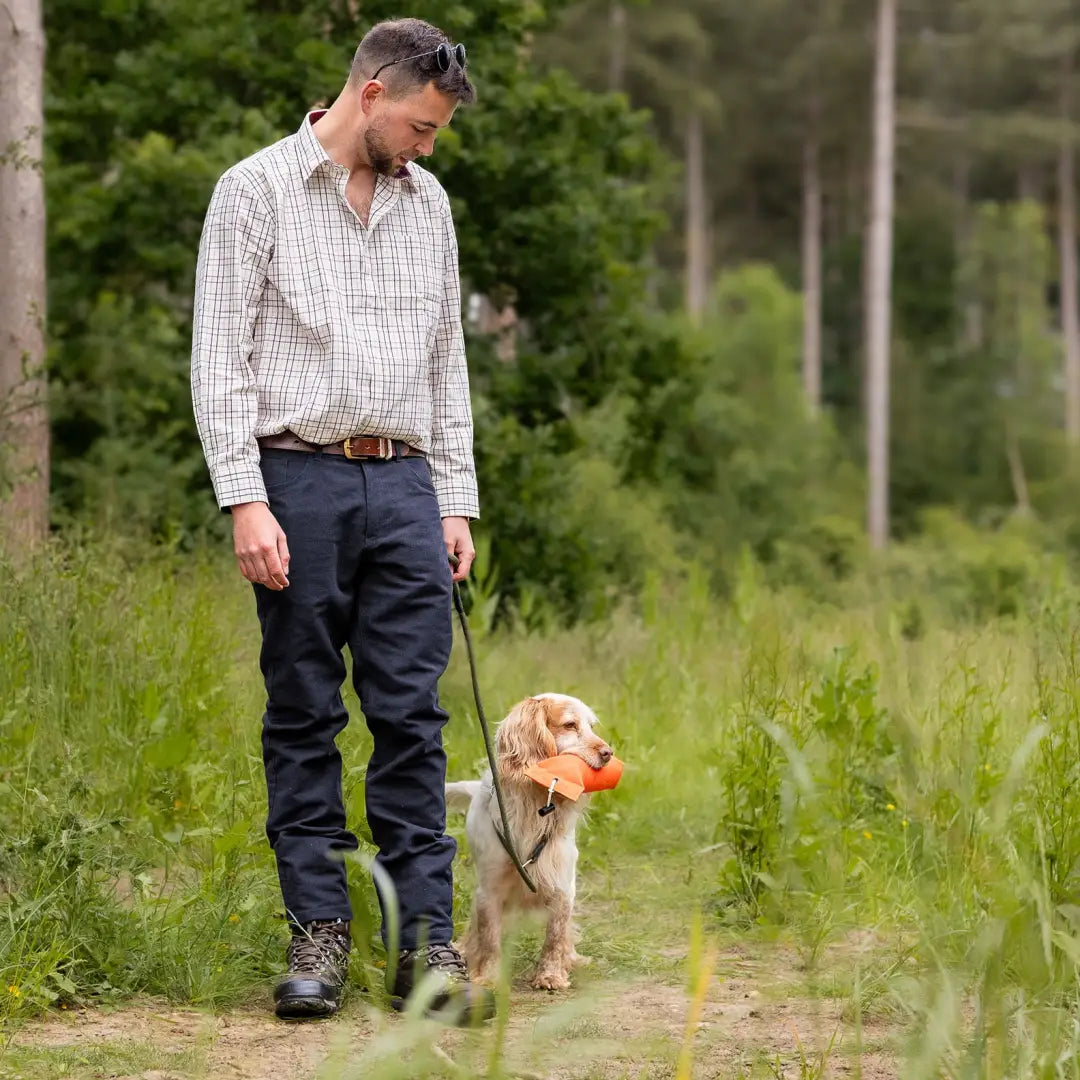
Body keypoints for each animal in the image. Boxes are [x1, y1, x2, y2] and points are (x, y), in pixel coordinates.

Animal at [447, 695, 613, 989]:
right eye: (570, 725)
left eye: (591, 726)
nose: (608, 753)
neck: (535, 803)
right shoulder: (489, 888)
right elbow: (489, 937)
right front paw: (488, 978)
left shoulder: (562, 886)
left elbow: (555, 937)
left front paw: (551, 976)